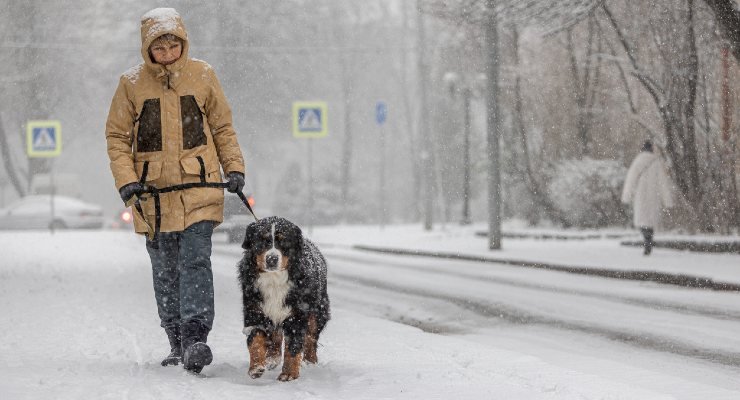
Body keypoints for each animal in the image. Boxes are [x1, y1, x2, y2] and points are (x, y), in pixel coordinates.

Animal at [237, 216, 330, 382]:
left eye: (284, 242)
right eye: (263, 241)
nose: (272, 258)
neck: (274, 280)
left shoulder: (297, 314)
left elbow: (293, 346)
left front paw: (289, 373)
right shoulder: (254, 310)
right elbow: (255, 339)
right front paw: (256, 367)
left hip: (318, 310)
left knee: (311, 337)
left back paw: (310, 360)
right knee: (276, 334)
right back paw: (272, 358)